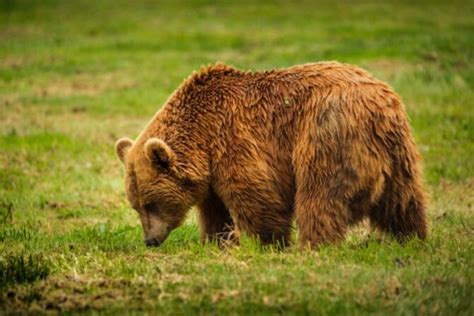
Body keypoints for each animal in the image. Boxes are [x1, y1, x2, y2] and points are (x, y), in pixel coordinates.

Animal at [115, 61, 430, 248]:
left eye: (151, 203)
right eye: (136, 205)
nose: (150, 240)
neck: (202, 138)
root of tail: (379, 104)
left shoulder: (234, 140)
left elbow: (255, 195)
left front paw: (268, 242)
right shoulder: (210, 172)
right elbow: (215, 210)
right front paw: (218, 241)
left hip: (327, 134)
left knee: (321, 196)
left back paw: (313, 246)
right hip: (397, 150)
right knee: (402, 201)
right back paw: (412, 237)